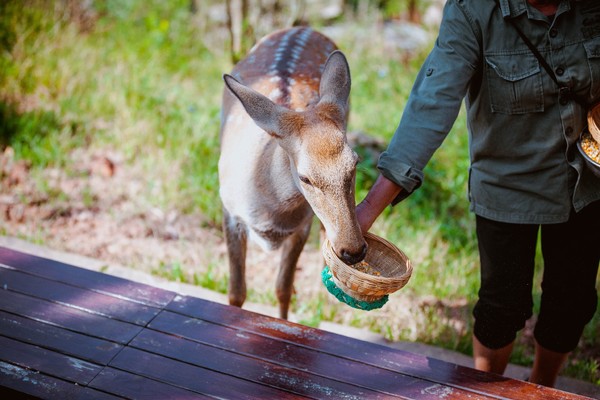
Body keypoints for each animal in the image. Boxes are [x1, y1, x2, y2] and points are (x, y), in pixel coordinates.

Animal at [218, 26, 364, 318]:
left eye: (355, 163)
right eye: (305, 177)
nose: (354, 250)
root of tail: (304, 27)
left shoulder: (303, 223)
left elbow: (282, 288)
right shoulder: (229, 209)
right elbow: (236, 292)